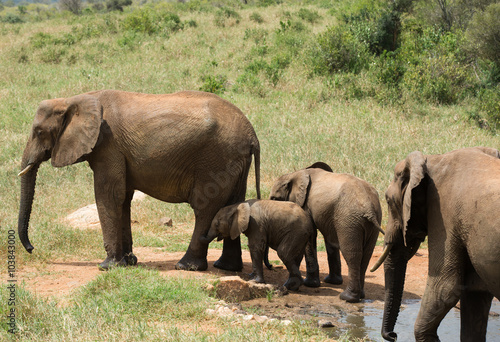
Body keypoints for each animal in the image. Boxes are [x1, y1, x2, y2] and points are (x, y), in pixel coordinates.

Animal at [18, 89, 262, 272]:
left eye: (38, 132)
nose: (31, 248)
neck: (74, 99)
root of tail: (253, 135)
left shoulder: (108, 145)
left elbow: (109, 194)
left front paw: (107, 266)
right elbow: (124, 198)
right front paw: (128, 262)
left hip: (216, 159)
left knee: (204, 208)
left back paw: (186, 266)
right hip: (234, 161)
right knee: (233, 204)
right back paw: (226, 267)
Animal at [270, 161, 382, 302]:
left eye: (275, 198)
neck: (294, 174)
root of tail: (369, 207)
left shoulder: (306, 206)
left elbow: (311, 236)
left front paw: (310, 284)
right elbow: (330, 240)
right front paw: (332, 282)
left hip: (349, 220)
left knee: (352, 254)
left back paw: (347, 297)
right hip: (370, 220)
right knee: (366, 254)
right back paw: (360, 296)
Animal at [372, 147, 500, 342]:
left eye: (387, 200)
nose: (393, 335)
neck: (432, 160)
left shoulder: (444, 212)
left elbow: (444, 286)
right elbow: (475, 292)